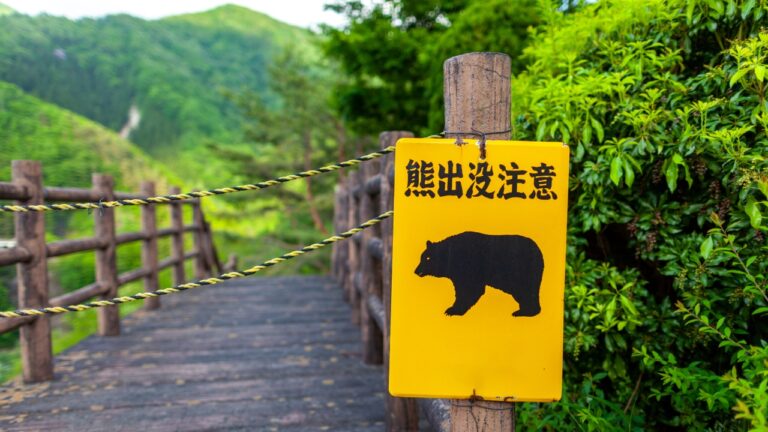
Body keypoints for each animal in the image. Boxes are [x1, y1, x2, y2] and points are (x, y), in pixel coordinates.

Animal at [414, 232, 544, 317]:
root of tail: (539, 251)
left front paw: (452, 310)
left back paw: (525, 312)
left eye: (427, 258)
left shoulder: (469, 268)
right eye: (422, 257)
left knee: (526, 291)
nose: (416, 271)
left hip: (522, 272)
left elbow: (470, 289)